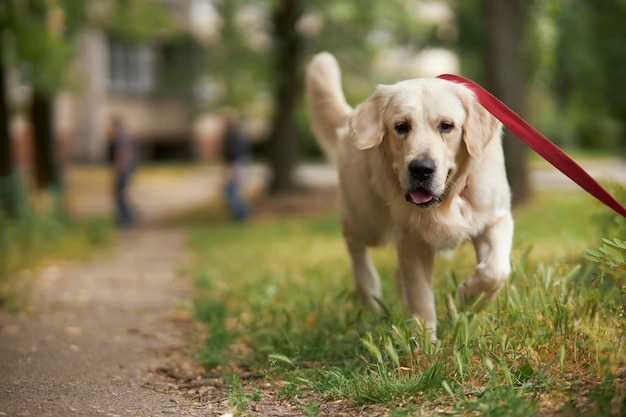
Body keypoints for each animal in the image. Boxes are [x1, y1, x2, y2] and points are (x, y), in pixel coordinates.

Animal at [304, 52, 512, 338]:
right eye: (401, 126)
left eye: (446, 126)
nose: (421, 169)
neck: (448, 201)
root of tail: (349, 122)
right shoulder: (412, 239)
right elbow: (421, 297)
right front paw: (425, 343)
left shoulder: (495, 217)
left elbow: (495, 270)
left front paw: (470, 297)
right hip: (367, 219)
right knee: (353, 240)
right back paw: (369, 293)